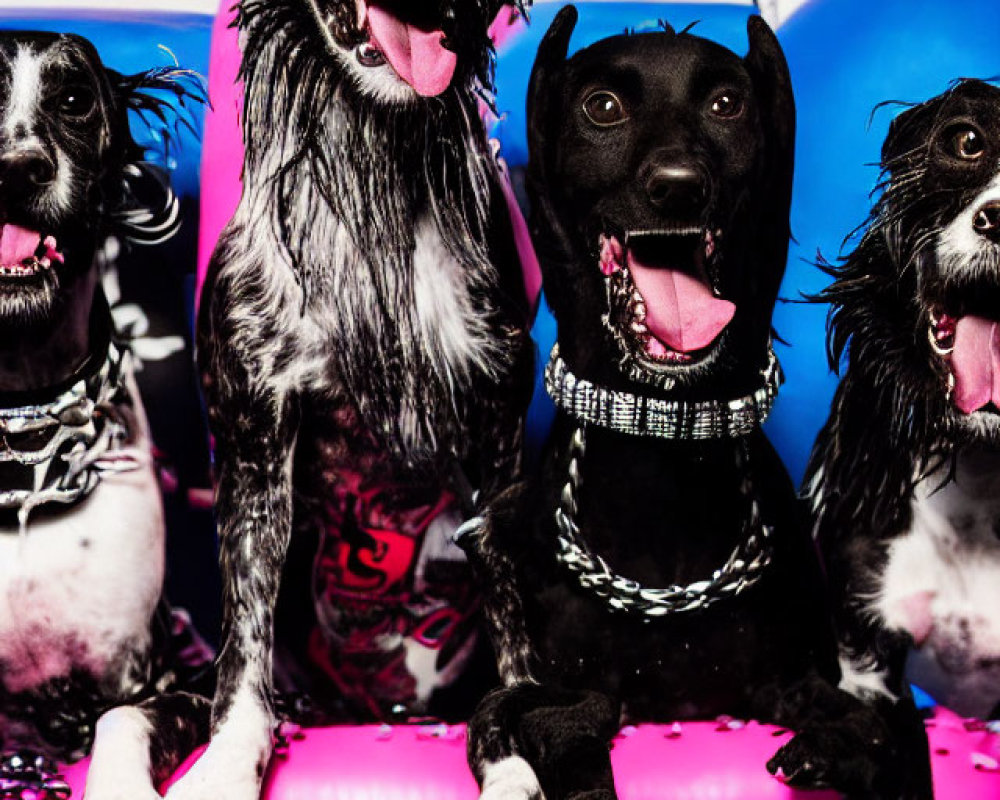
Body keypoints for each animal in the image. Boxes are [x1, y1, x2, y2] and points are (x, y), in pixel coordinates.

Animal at [188, 0, 532, 796]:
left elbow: (510, 614)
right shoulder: (256, 438)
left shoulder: (500, 411)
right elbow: (244, 640)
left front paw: (513, 749)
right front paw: (224, 762)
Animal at [462, 7, 916, 800]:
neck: (665, 450)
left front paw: (835, 747)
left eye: (727, 103)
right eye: (602, 107)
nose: (678, 187)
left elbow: (873, 726)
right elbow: (555, 718)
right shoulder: (561, 686)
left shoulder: (795, 678)